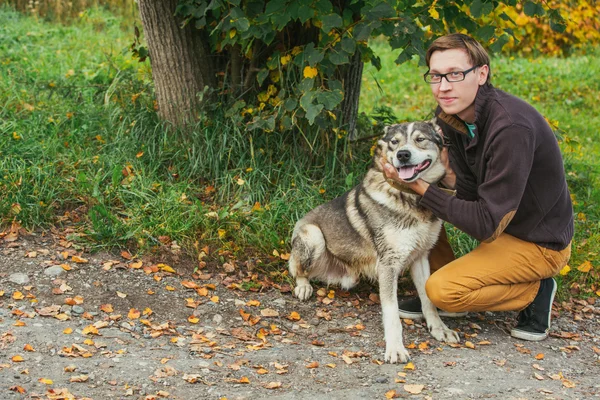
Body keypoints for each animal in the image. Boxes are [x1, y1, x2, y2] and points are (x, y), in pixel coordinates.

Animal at [290, 119, 460, 362]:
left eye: (420, 139)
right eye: (394, 142)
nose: (403, 155)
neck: (410, 198)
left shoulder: (420, 257)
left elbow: (428, 300)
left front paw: (439, 329)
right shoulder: (388, 264)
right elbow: (391, 312)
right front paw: (395, 348)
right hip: (313, 236)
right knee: (298, 271)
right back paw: (303, 287)